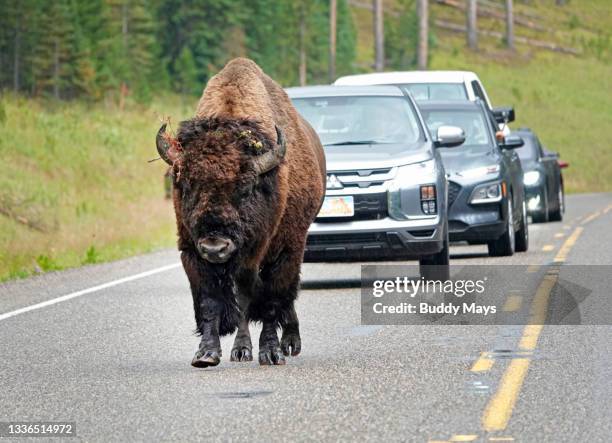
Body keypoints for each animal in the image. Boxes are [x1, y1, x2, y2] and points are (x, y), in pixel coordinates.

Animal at [155, 58, 326, 368]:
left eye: (246, 187)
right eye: (186, 184)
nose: (215, 246)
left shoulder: (274, 252)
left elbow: (266, 301)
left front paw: (270, 352)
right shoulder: (193, 252)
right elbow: (211, 301)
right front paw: (206, 354)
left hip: (292, 247)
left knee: (283, 295)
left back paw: (288, 344)